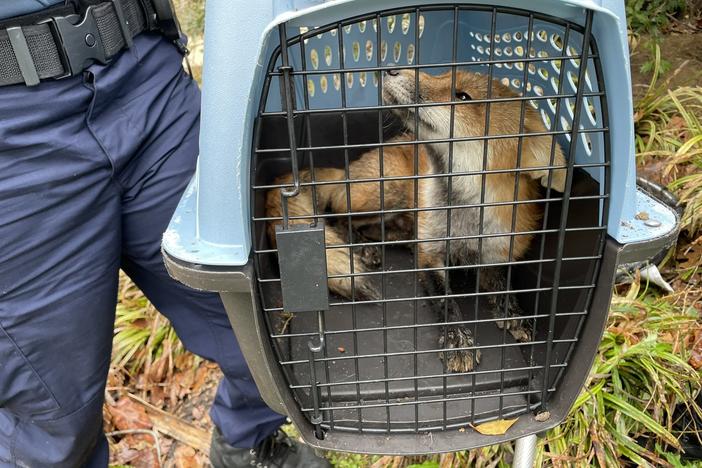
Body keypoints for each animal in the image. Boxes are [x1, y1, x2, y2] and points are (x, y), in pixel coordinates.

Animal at [266, 69, 568, 372]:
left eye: (463, 96)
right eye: (443, 73)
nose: (392, 69)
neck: (464, 221)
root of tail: (347, 171)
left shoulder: (496, 251)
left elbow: (504, 284)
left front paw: (514, 313)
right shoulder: (430, 255)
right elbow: (446, 300)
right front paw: (457, 339)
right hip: (388, 191)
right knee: (341, 218)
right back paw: (362, 247)